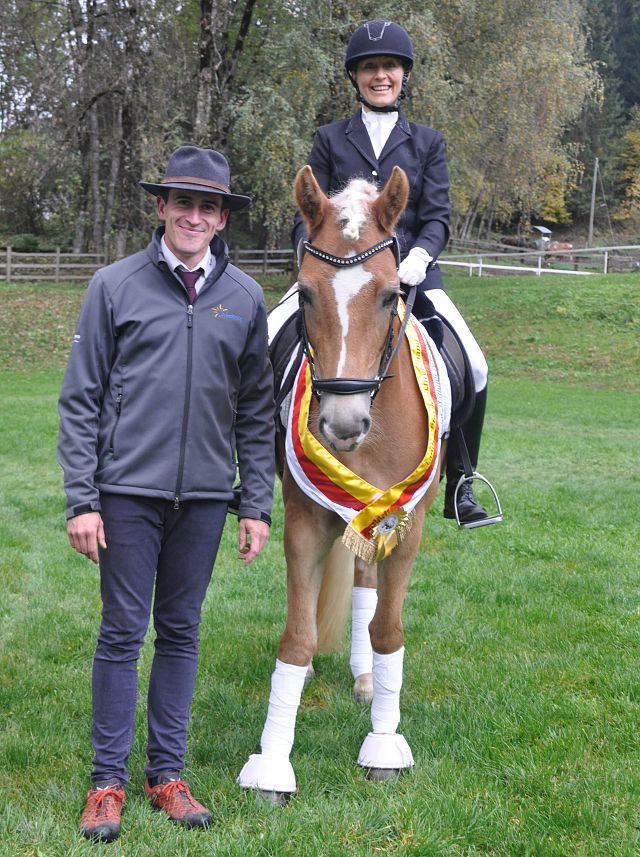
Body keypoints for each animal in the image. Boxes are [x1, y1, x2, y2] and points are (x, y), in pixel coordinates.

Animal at [235, 166, 450, 804]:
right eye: (306, 293)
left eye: (389, 293)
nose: (343, 424)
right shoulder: (305, 520)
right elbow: (296, 636)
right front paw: (272, 764)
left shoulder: (407, 524)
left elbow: (388, 628)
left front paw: (383, 744)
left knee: (364, 588)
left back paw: (365, 679)